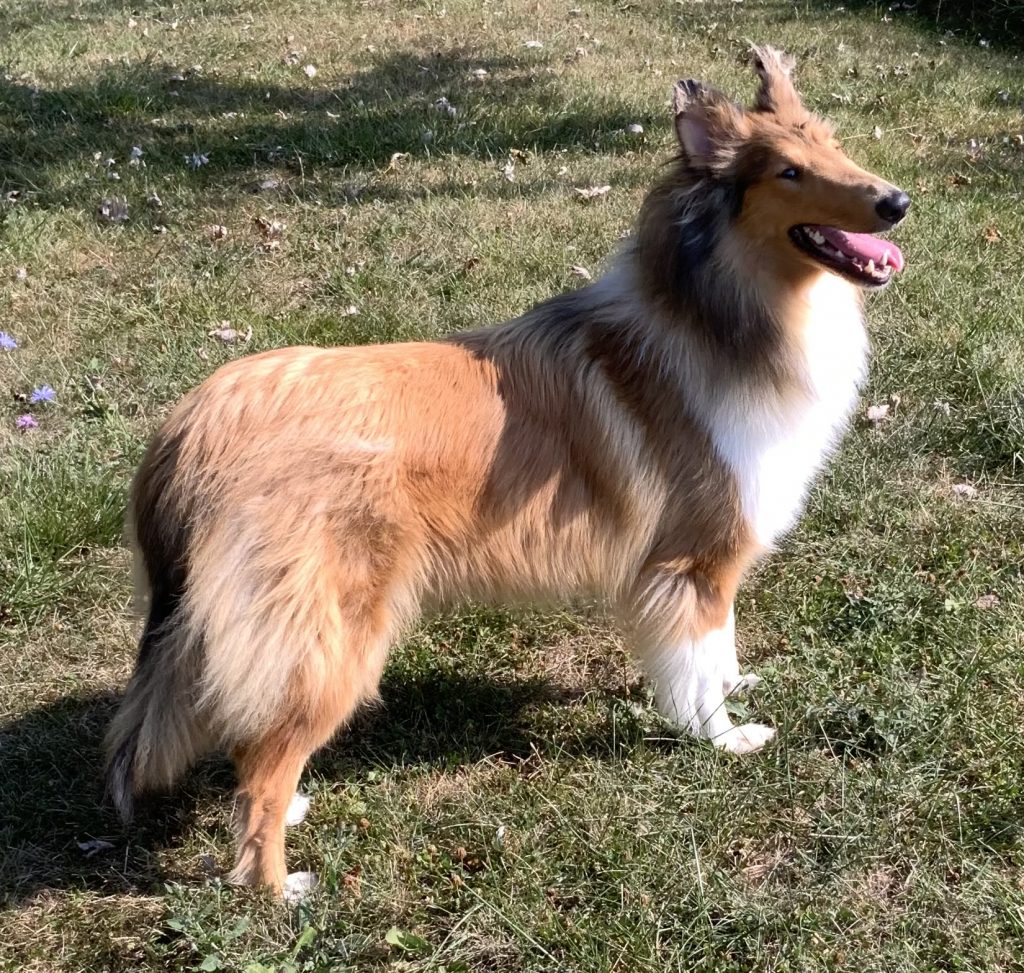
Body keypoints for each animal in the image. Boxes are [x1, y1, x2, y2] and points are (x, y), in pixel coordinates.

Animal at [105, 49, 905, 893]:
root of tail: (196, 423)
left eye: (831, 145)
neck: (722, 313)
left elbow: (718, 650)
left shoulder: (706, 567)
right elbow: (695, 665)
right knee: (264, 762)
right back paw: (277, 886)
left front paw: (732, 688)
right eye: (788, 171)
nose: (897, 203)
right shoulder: (693, 560)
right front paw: (722, 738)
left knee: (254, 743)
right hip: (333, 635)